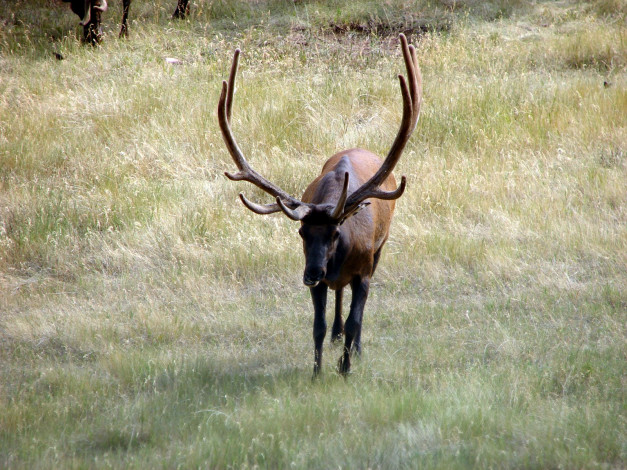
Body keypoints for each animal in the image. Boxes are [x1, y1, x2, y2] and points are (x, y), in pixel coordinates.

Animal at [220, 35, 422, 376]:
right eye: (301, 233)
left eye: (335, 233)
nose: (311, 272)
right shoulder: (318, 283)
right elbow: (318, 325)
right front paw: (316, 372)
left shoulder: (364, 271)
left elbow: (356, 319)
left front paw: (346, 366)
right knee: (337, 294)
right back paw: (336, 334)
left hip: (380, 248)